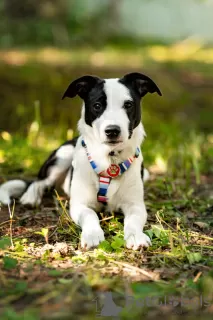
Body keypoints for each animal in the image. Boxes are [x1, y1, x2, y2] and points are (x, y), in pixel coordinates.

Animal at [0, 72, 161, 250]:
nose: (112, 131)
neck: (109, 158)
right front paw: (92, 234)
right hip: (62, 156)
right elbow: (90, 214)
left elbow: (133, 220)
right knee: (39, 182)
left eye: (128, 105)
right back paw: (31, 197)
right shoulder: (80, 205)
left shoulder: (135, 205)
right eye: (97, 105)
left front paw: (135, 236)